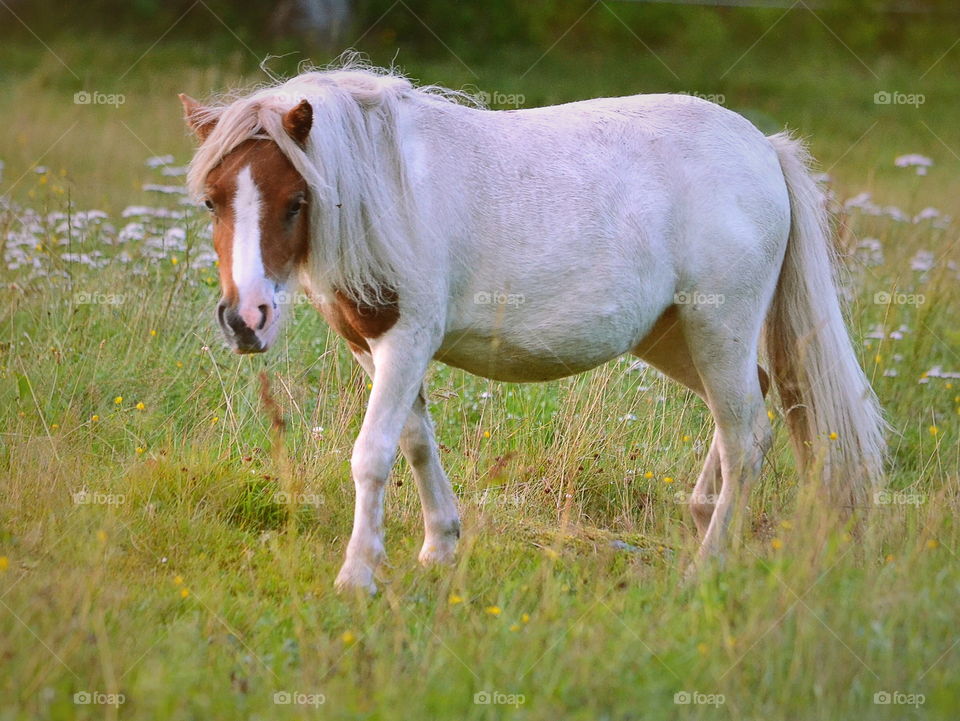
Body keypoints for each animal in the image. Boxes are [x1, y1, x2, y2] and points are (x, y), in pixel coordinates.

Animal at [180, 63, 884, 594]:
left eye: (295, 202)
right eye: (212, 200)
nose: (244, 320)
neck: (385, 184)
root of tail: (764, 148)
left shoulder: (407, 342)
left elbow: (374, 454)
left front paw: (358, 576)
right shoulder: (371, 346)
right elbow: (416, 442)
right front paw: (439, 549)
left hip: (720, 327)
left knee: (747, 438)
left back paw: (705, 565)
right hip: (677, 337)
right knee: (747, 403)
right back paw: (702, 513)